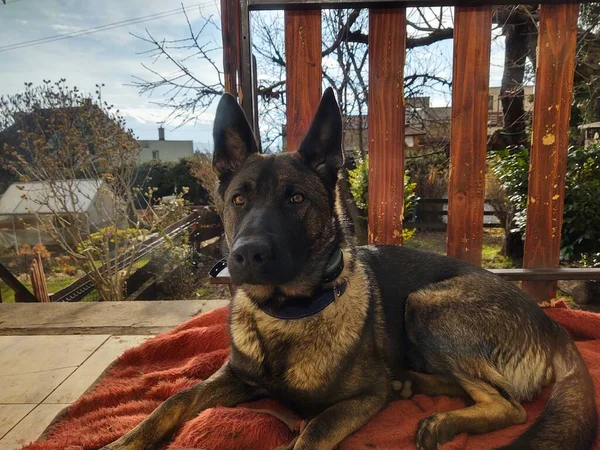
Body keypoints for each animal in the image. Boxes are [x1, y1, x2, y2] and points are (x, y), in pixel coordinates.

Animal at [102, 89, 596, 450]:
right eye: (238, 198)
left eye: (295, 198)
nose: (245, 256)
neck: (287, 314)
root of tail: (552, 325)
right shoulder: (235, 378)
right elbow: (176, 399)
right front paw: (124, 443)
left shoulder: (360, 400)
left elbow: (311, 433)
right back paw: (412, 383)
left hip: (427, 304)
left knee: (510, 406)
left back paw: (440, 421)